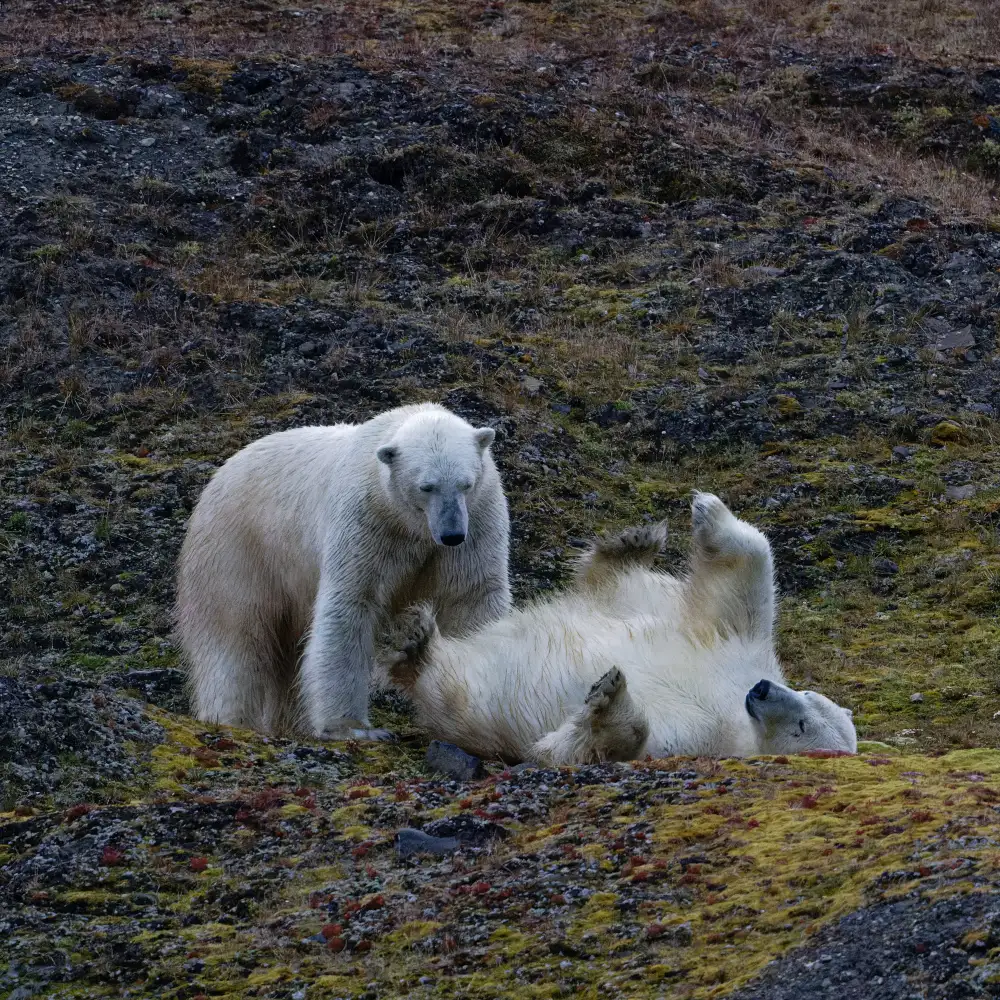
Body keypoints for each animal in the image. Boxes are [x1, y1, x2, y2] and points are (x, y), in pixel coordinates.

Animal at [176, 402, 511, 740]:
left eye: (466, 484)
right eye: (426, 486)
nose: (451, 534)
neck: (413, 526)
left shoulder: (477, 522)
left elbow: (472, 600)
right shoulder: (368, 521)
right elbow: (350, 604)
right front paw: (352, 728)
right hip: (238, 549)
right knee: (235, 636)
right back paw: (231, 719)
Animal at [382, 492, 856, 764]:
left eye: (801, 727)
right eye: (806, 695)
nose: (761, 690)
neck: (733, 717)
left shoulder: (692, 743)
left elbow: (580, 749)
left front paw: (607, 698)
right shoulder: (735, 655)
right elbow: (741, 595)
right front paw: (710, 510)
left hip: (475, 708)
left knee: (451, 690)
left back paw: (416, 643)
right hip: (642, 601)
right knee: (622, 585)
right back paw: (630, 545)